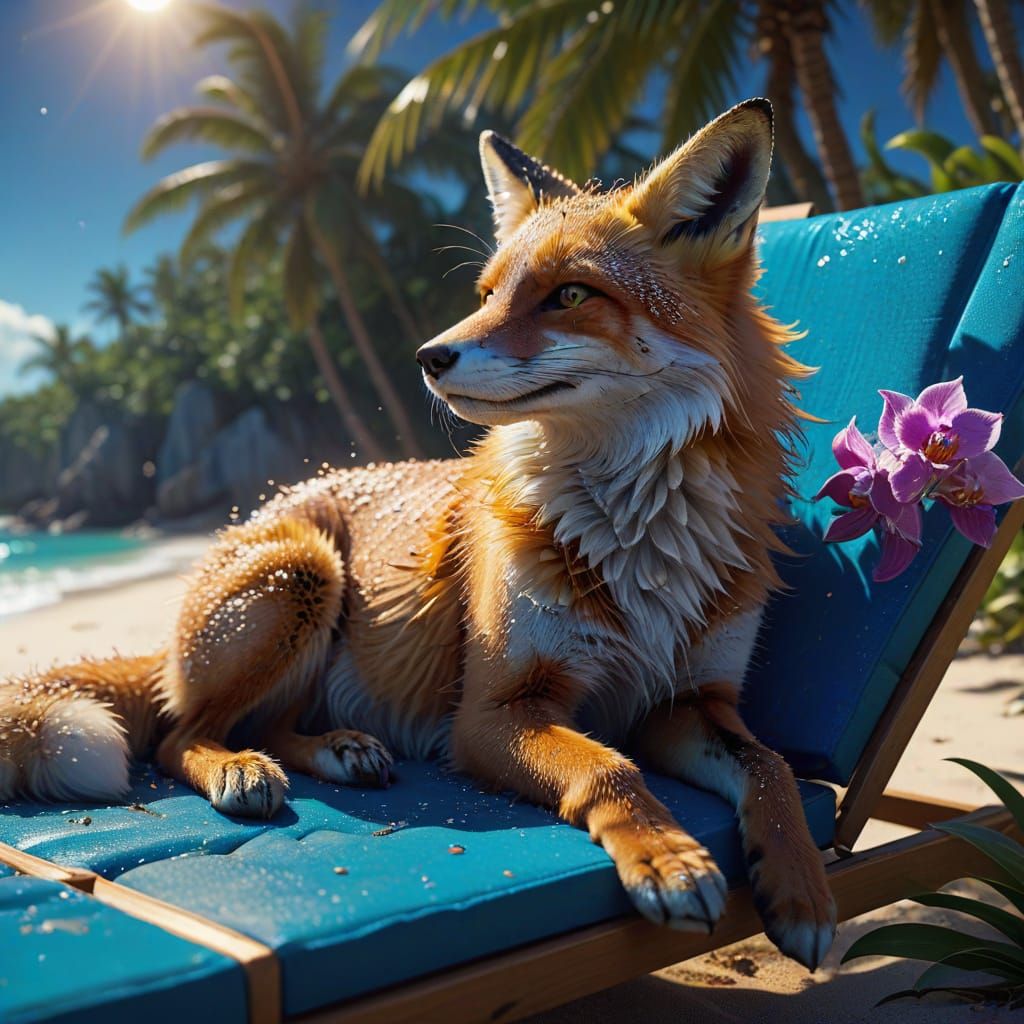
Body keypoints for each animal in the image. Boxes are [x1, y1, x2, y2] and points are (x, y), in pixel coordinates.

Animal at [0, 99, 837, 968]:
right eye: (489, 292)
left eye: (570, 294)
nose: (429, 356)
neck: (641, 537)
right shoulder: (494, 712)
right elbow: (610, 771)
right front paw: (671, 859)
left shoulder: (685, 699)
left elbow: (770, 766)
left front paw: (803, 892)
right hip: (303, 573)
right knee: (178, 733)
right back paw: (241, 768)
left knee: (256, 723)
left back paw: (338, 749)